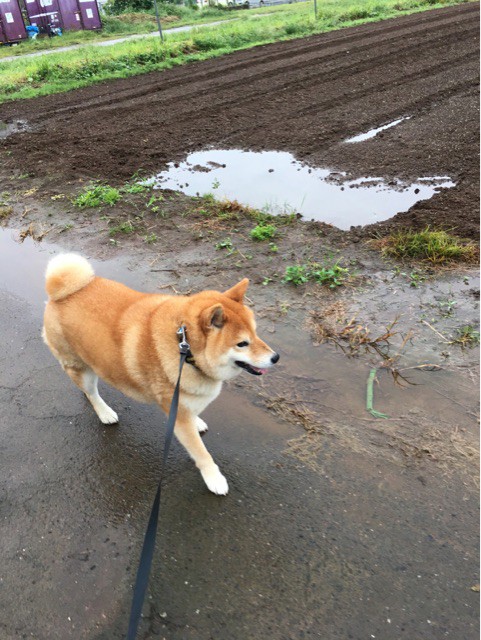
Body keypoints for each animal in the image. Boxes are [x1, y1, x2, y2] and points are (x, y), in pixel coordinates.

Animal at [43, 254, 280, 496]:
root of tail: (59, 294)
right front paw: (214, 478)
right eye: (242, 343)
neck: (185, 348)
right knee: (91, 392)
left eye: (256, 333)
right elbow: (201, 453)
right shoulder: (179, 418)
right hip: (79, 367)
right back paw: (104, 412)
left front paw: (197, 421)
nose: (276, 357)